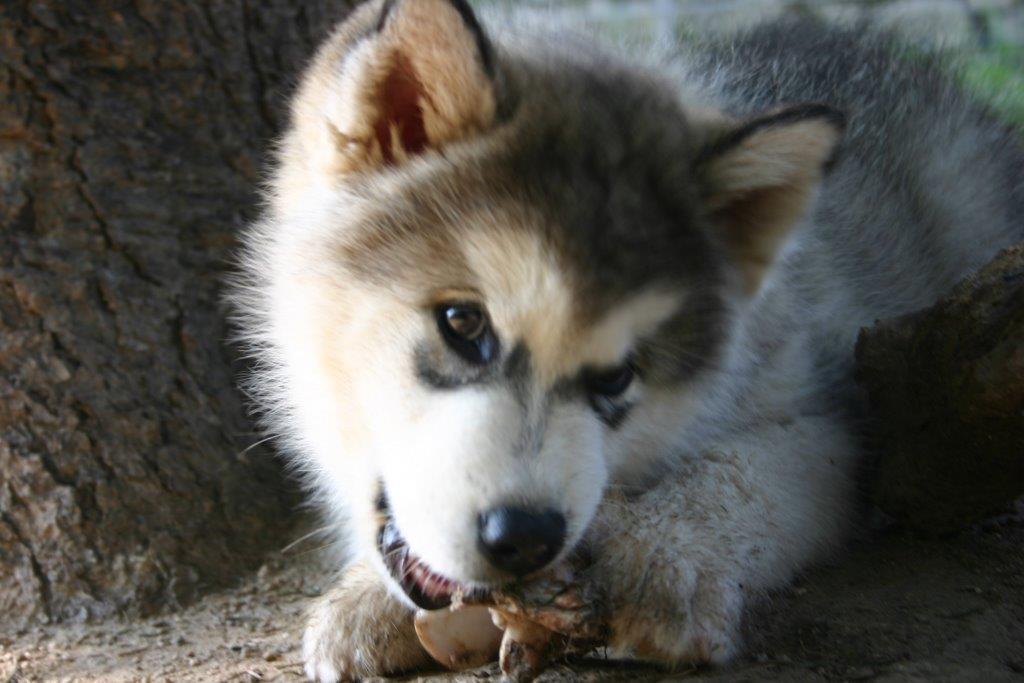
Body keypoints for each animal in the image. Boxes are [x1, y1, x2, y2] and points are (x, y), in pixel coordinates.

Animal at [232, 2, 1024, 679]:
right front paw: (362, 595)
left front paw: (664, 553)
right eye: (463, 324)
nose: (525, 536)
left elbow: (750, 468)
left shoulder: (841, 413)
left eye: (618, 376)